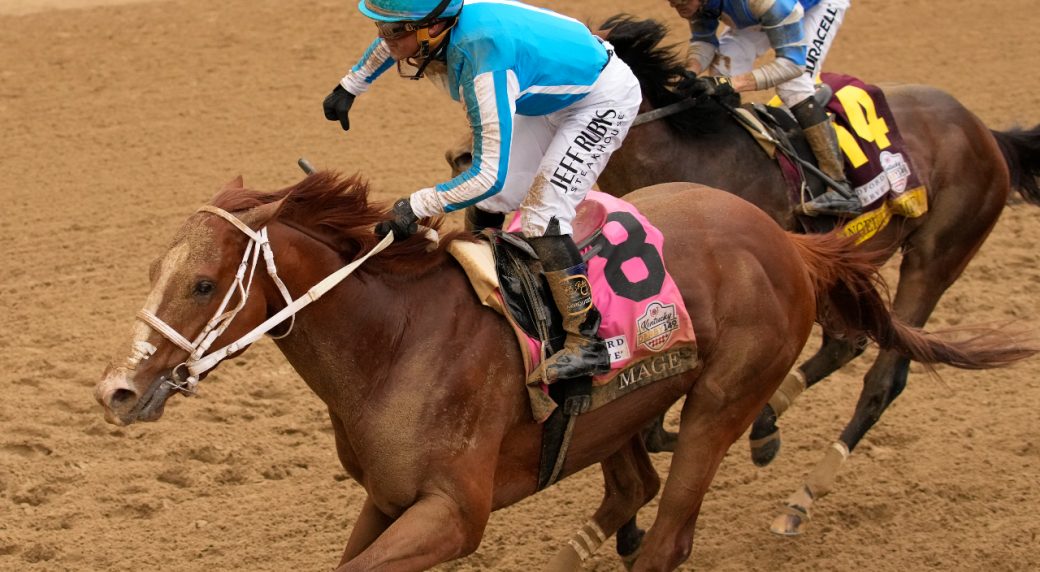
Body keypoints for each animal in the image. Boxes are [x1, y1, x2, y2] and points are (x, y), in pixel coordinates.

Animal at [92, 172, 1033, 571]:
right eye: (154, 270)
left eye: (204, 283)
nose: (116, 392)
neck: (394, 342)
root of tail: (787, 241)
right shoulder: (388, 498)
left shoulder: (451, 514)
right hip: (616, 414)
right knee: (633, 487)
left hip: (720, 402)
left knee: (668, 531)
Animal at [443, 14, 1040, 535]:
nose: (460, 158)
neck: (686, 155)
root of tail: (985, 130)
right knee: (844, 343)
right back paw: (767, 426)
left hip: (936, 257)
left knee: (882, 378)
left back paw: (798, 499)